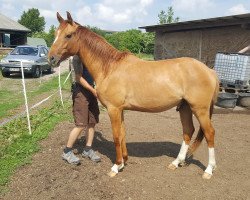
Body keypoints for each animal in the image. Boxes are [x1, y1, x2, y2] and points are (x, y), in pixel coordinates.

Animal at [48, 11, 219, 179]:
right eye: (56, 33)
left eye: (68, 35)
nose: (51, 58)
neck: (109, 67)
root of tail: (210, 71)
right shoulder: (121, 110)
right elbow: (122, 134)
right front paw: (124, 161)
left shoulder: (114, 109)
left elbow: (117, 136)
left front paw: (116, 166)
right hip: (185, 107)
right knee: (188, 131)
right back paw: (176, 162)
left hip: (200, 109)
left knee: (209, 133)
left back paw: (209, 170)